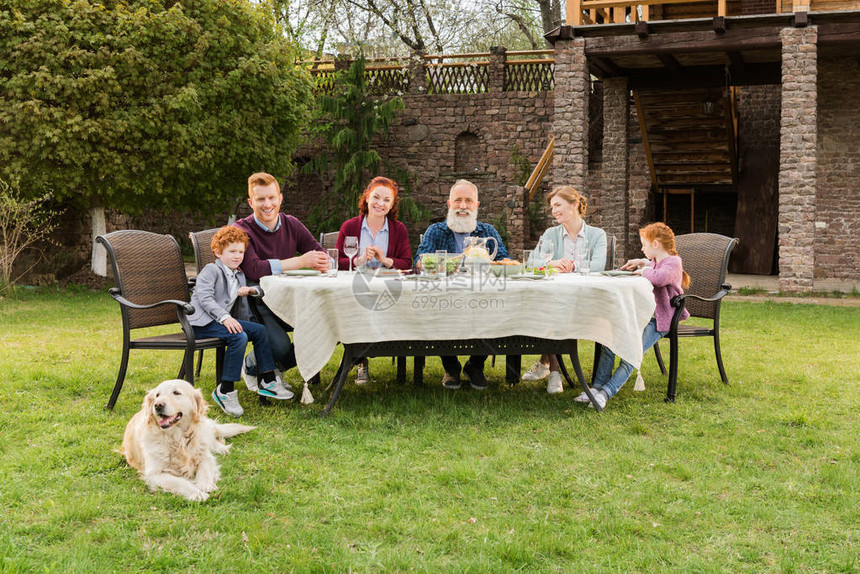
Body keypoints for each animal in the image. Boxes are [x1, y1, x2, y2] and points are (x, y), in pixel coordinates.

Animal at [122, 380, 255, 502]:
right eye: (157, 395)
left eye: (176, 393)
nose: (158, 405)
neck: (178, 439)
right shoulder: (154, 474)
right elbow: (179, 482)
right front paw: (197, 493)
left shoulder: (204, 456)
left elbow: (205, 470)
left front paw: (205, 485)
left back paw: (222, 449)